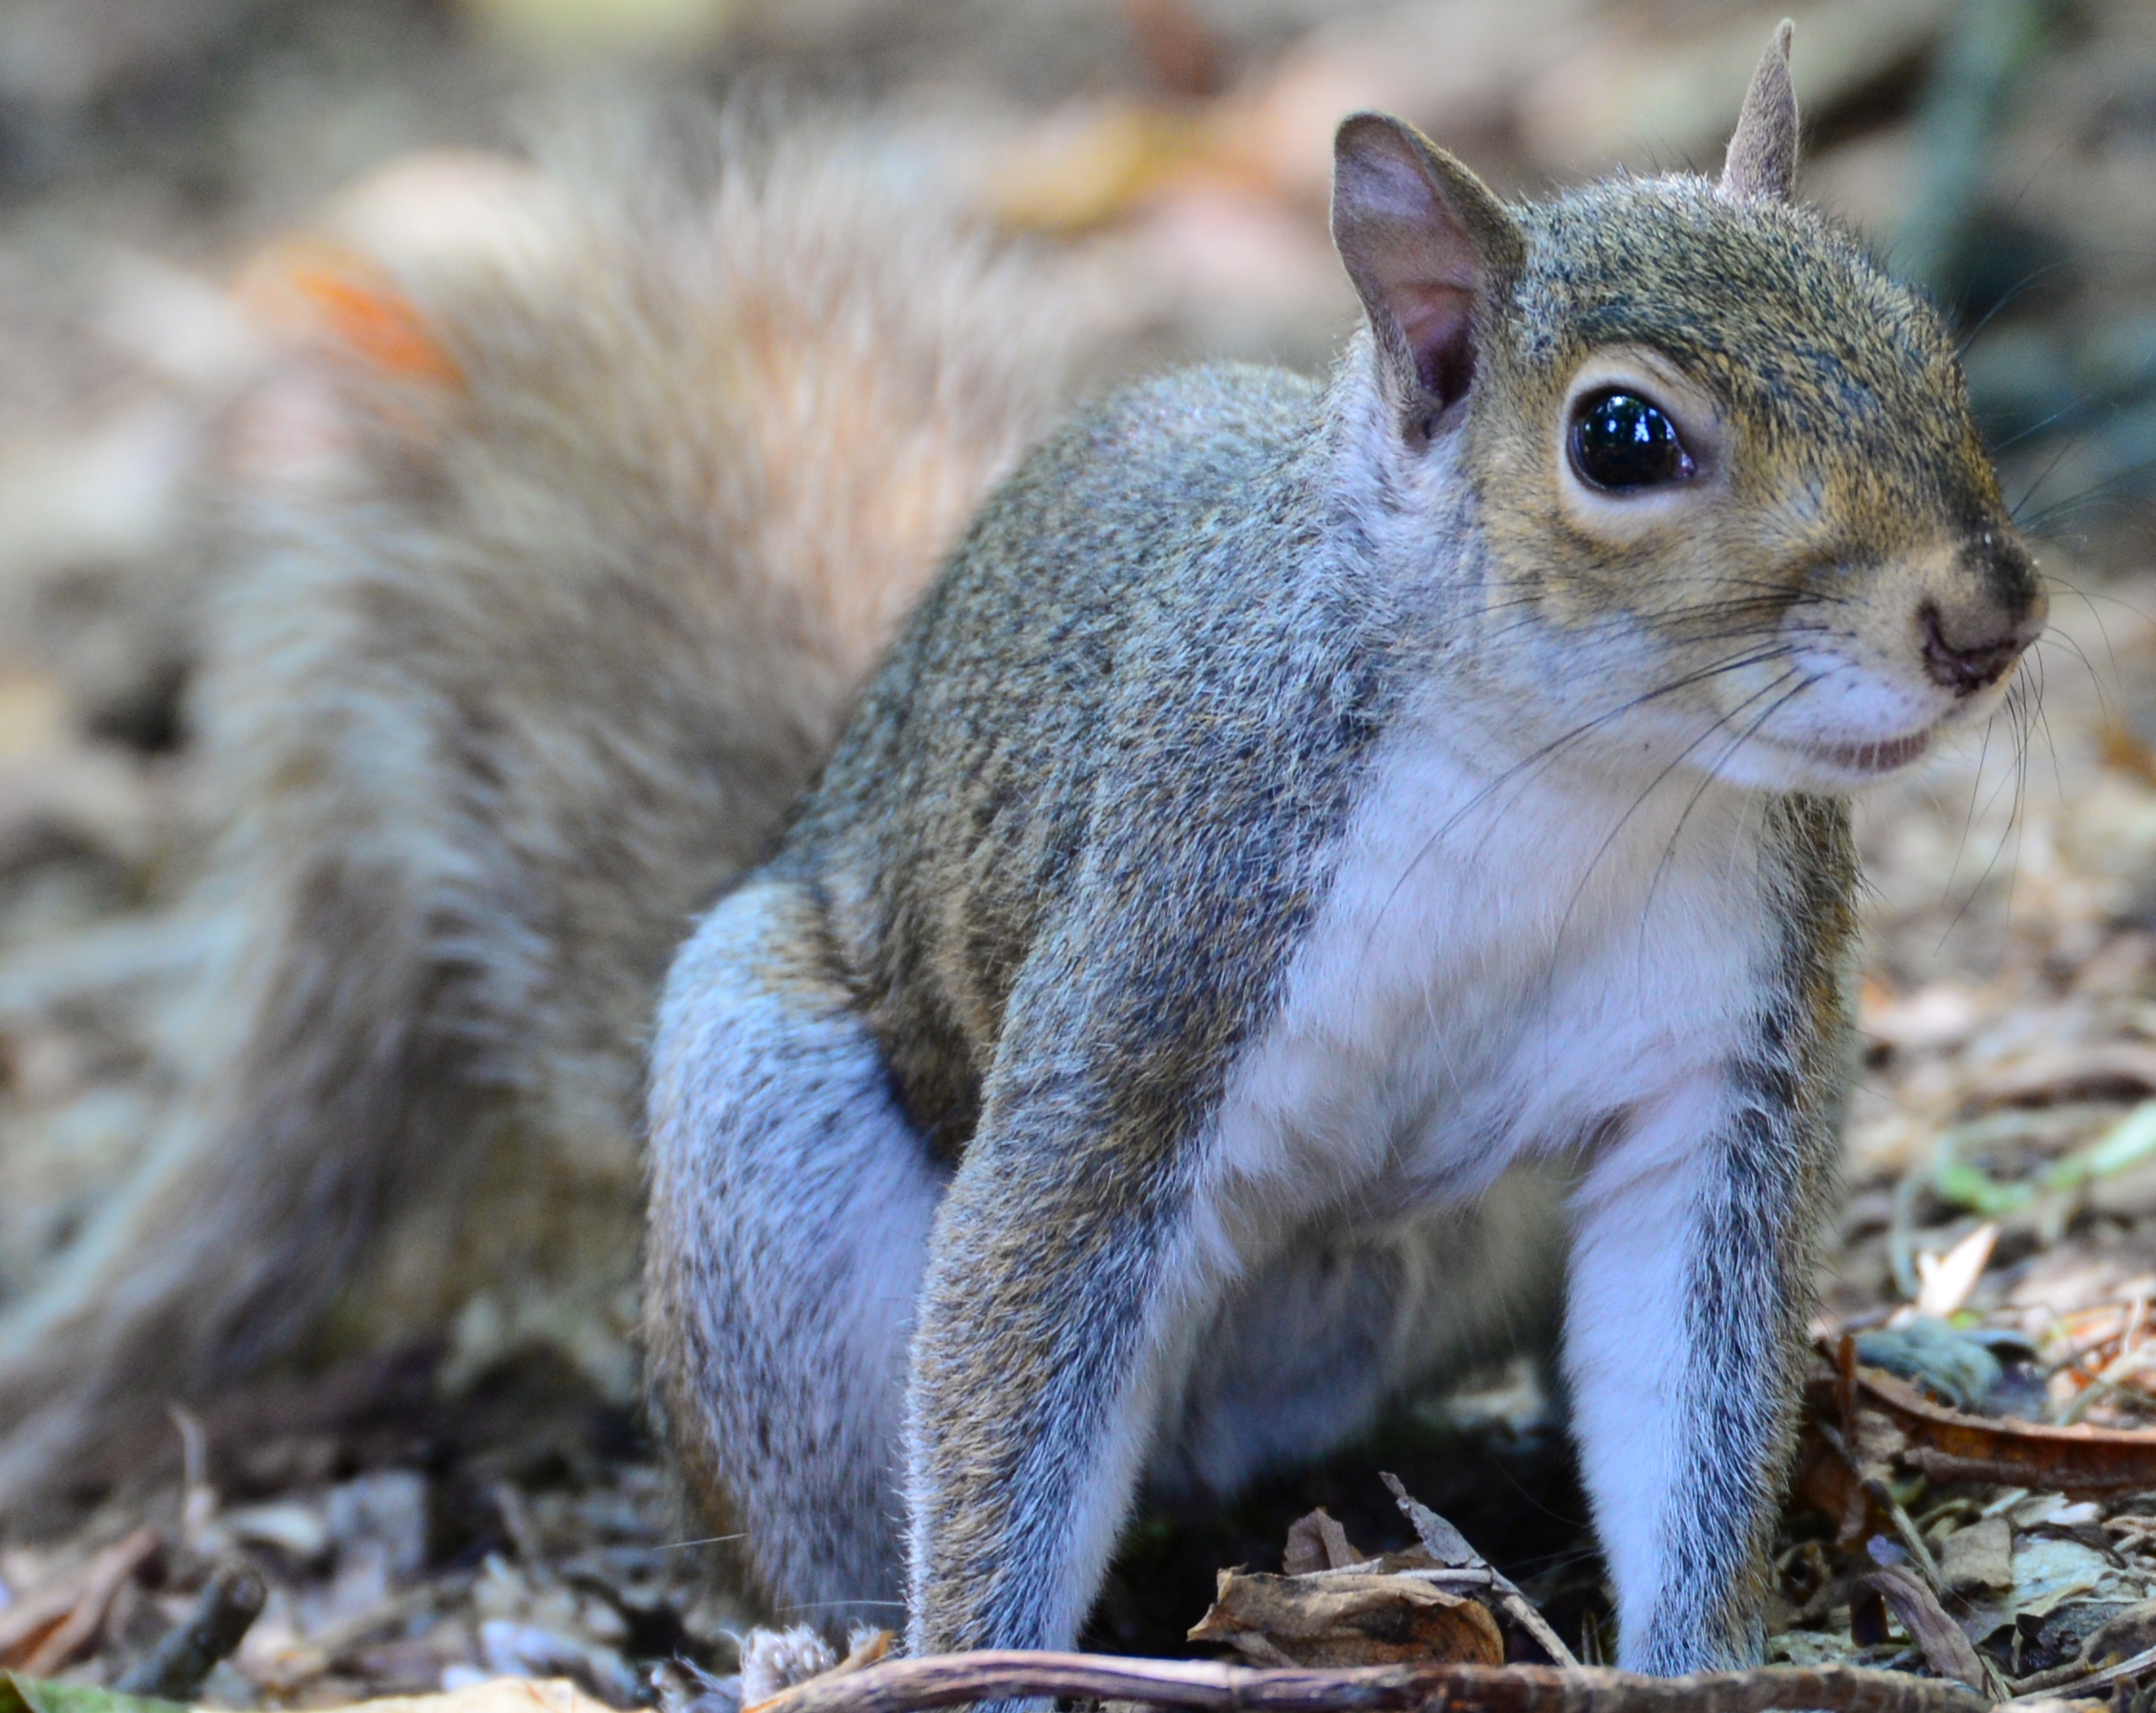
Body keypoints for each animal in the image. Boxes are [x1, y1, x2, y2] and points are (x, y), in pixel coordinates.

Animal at [644, 24, 2043, 1678]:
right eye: (1622, 437)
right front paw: (986, 1666)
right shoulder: (1167, 951)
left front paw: (1695, 1665)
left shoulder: (1719, 1069)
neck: (1562, 775)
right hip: (763, 1162)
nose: (1990, 617)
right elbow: (1023, 1304)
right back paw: (826, 1659)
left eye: (1920, 336)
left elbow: (1686, 1383)